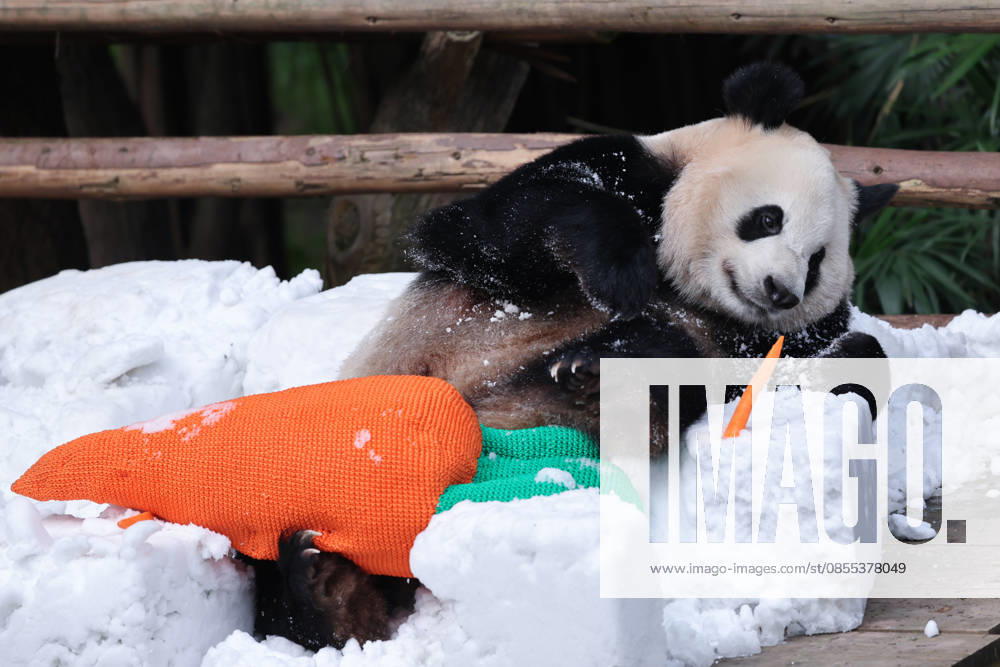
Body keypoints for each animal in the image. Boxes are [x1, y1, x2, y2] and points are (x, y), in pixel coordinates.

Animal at [252, 62, 898, 650]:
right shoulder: (624, 170)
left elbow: (797, 363)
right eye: (768, 218)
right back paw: (319, 594)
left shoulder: (767, 339)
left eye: (817, 260)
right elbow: (504, 228)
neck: (689, 292)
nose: (780, 291)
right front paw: (620, 270)